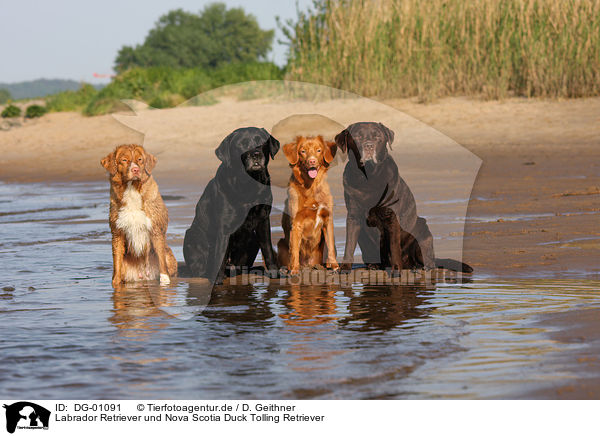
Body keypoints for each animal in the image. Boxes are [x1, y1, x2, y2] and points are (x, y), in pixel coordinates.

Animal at [99, 144, 176, 286]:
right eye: (124, 160)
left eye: (140, 159)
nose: (135, 169)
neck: (132, 189)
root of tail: (143, 276)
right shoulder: (117, 232)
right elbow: (117, 263)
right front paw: (115, 285)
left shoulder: (156, 229)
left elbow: (161, 260)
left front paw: (164, 281)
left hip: (169, 255)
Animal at [184, 127, 280, 282]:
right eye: (242, 144)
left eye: (261, 141)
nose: (256, 154)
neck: (249, 185)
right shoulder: (225, 226)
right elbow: (220, 255)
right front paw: (217, 280)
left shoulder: (264, 220)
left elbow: (268, 249)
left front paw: (274, 273)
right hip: (192, 236)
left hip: (253, 240)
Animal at [276, 136, 338, 274]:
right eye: (303, 151)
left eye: (319, 150)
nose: (312, 161)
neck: (311, 186)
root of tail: (309, 264)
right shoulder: (296, 223)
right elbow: (294, 250)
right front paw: (294, 270)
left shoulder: (328, 218)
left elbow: (331, 245)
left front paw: (335, 265)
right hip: (281, 242)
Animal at [336, 121, 472, 272]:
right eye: (357, 137)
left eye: (377, 137)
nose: (369, 146)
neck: (368, 177)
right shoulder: (353, 216)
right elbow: (349, 245)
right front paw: (344, 268)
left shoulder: (391, 216)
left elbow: (394, 246)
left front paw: (396, 269)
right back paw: (375, 265)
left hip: (422, 229)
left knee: (427, 258)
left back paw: (422, 267)